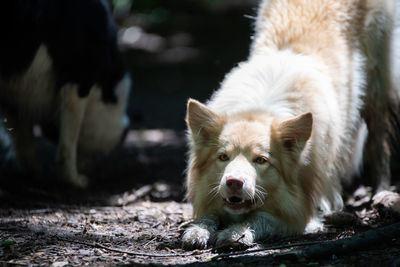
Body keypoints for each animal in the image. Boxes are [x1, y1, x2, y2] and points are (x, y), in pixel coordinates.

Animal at [0, 0, 130, 188]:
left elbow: (24, 142)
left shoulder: (14, 98)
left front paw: (34, 174)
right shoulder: (78, 79)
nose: (88, 167)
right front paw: (73, 180)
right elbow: (69, 141)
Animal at [183, 0, 398, 250]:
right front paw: (197, 230)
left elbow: (261, 218)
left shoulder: (299, 213)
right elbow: (208, 216)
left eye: (261, 160)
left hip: (376, 88)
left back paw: (382, 193)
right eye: (223, 157)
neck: (260, 107)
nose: (234, 182)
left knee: (379, 143)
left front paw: (237, 233)